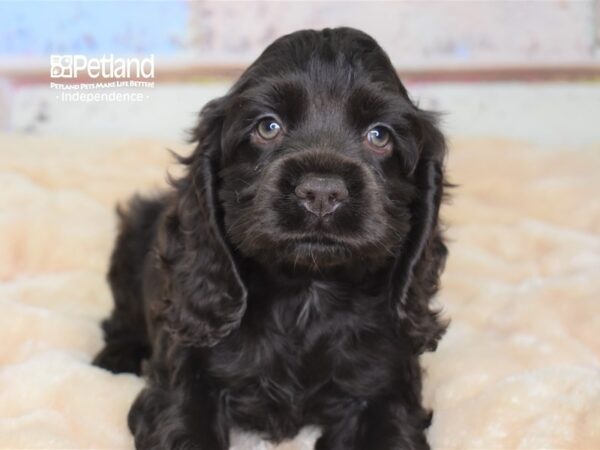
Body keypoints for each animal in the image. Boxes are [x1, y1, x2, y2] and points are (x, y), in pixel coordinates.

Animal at [94, 28, 448, 450]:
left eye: (379, 135)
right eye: (268, 127)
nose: (321, 192)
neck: (307, 292)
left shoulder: (388, 389)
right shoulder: (182, 381)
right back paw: (115, 359)